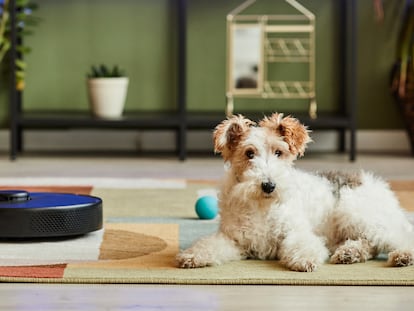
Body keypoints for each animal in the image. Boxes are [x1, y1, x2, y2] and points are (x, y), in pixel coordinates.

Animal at [175, 113, 414, 272]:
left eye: (279, 152)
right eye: (249, 153)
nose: (269, 185)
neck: (262, 205)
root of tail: (377, 184)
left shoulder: (295, 231)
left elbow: (302, 244)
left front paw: (305, 260)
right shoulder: (234, 240)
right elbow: (210, 245)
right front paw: (192, 256)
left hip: (356, 214)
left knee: (399, 237)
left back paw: (403, 256)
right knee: (370, 244)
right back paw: (349, 254)